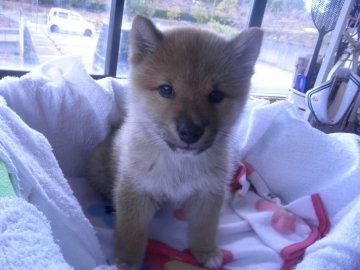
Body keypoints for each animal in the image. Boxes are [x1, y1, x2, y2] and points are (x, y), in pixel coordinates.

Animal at [86, 15, 262, 270]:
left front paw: (206, 251)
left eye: (216, 95)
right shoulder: (135, 191)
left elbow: (204, 228)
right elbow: (131, 231)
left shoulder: (208, 193)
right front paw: (128, 259)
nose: (190, 132)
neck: (179, 163)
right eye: (167, 90)